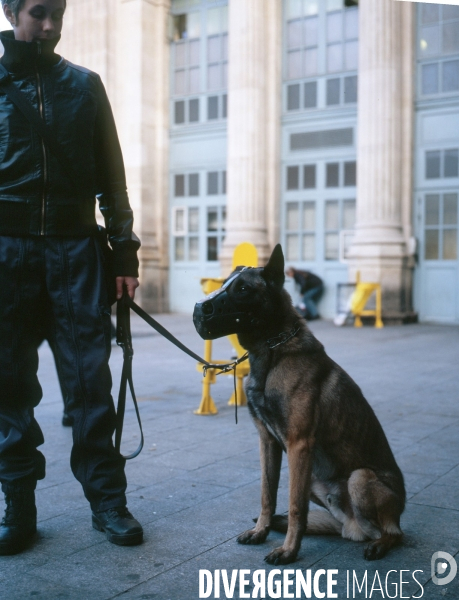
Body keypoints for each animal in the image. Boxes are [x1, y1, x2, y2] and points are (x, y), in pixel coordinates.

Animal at [194, 243, 406, 564]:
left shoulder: (298, 445)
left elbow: (294, 506)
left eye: (242, 289)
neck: (272, 350)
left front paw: (289, 550)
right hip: (315, 480)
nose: (198, 310)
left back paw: (380, 544)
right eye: (225, 284)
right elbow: (267, 495)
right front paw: (261, 531)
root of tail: (353, 529)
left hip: (357, 478)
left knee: (395, 532)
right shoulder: (268, 442)